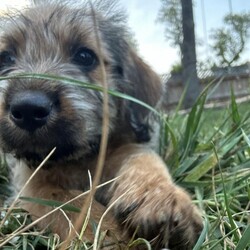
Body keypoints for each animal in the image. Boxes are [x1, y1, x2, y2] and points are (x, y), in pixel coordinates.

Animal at [0, 0, 203, 249]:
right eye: (6, 58)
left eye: (85, 56)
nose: (28, 108)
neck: (78, 157)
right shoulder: (29, 183)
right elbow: (65, 202)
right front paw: (111, 235)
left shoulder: (125, 146)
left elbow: (144, 158)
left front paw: (160, 196)